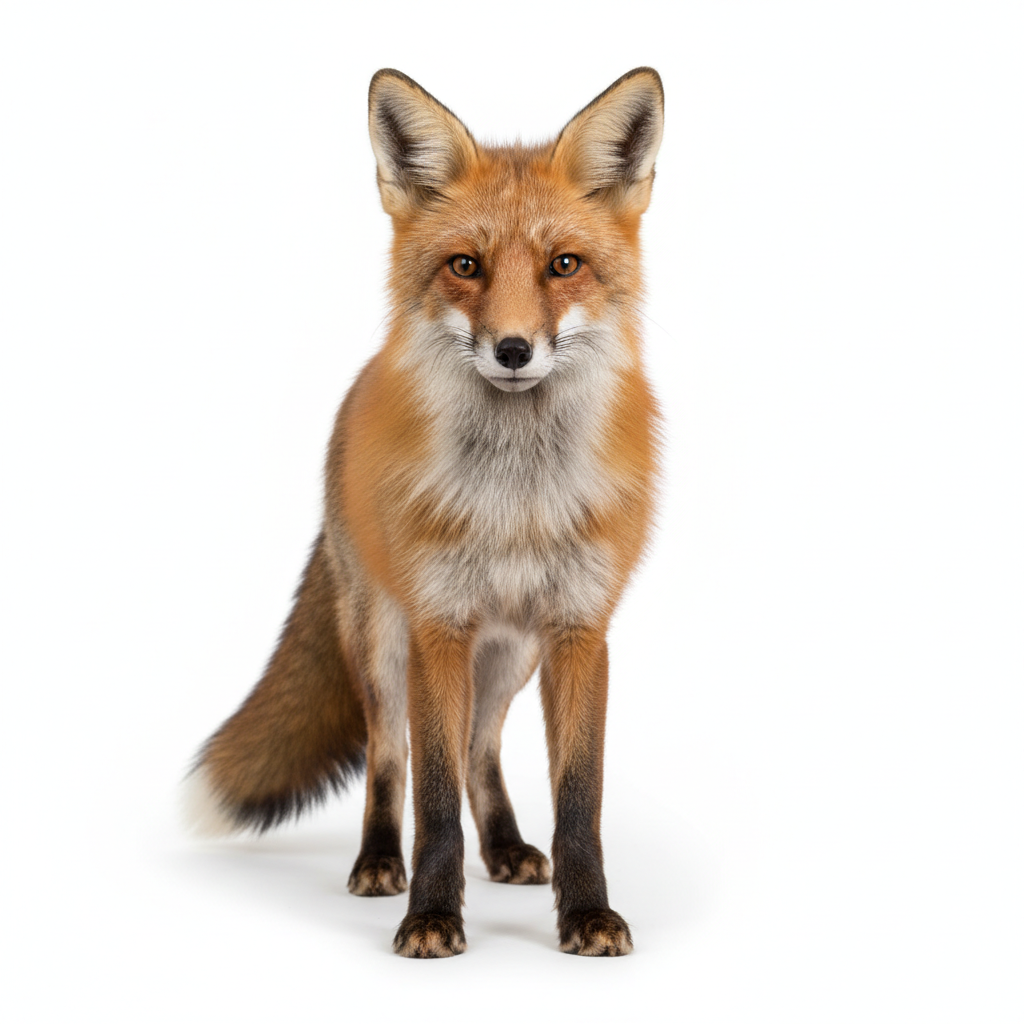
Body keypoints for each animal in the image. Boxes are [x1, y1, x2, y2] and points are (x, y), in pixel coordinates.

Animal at [185, 67, 664, 958]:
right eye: (465, 265)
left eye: (565, 264)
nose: (513, 350)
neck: (515, 500)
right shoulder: (438, 627)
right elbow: (433, 799)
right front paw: (432, 916)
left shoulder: (580, 632)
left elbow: (578, 798)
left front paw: (587, 914)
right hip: (382, 641)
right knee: (389, 755)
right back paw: (379, 861)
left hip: (510, 653)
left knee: (480, 747)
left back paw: (505, 848)